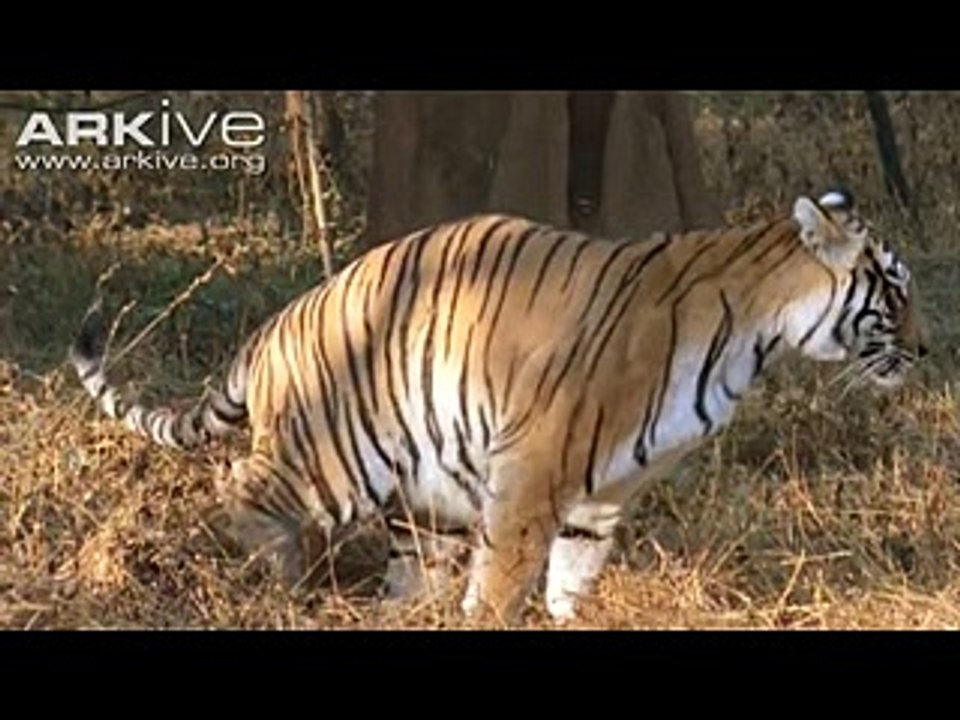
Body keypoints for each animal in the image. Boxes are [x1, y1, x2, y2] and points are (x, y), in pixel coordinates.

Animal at [69, 189, 928, 624]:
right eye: (893, 288)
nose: (925, 351)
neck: (758, 330)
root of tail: (275, 323)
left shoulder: (600, 495)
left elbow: (571, 580)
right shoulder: (531, 472)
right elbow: (504, 579)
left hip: (428, 492)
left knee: (408, 567)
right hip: (332, 462)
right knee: (239, 490)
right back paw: (269, 581)